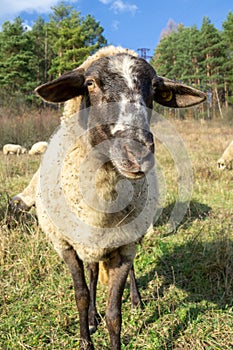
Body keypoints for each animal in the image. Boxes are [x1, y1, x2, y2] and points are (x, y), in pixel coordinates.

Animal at [12, 45, 206, 348]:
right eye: (90, 83)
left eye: (154, 89)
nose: (137, 153)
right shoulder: (65, 245)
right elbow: (80, 295)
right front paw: (86, 336)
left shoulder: (125, 245)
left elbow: (115, 313)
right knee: (92, 275)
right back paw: (92, 317)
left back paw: (136, 300)